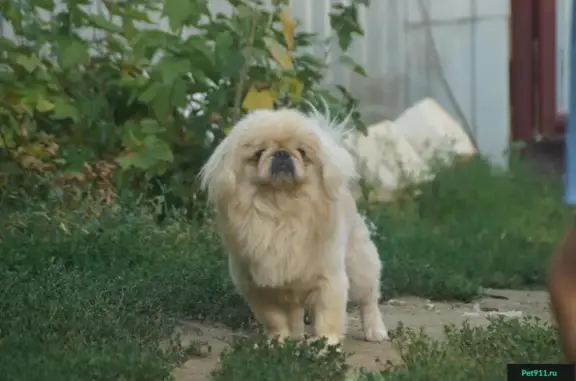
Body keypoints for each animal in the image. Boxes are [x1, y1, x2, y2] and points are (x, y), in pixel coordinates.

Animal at [200, 107, 390, 344]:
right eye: (258, 153)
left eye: (302, 151)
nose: (282, 153)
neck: (282, 209)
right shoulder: (259, 288)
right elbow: (275, 319)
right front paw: (278, 342)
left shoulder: (329, 280)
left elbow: (327, 318)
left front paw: (326, 344)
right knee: (296, 312)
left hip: (358, 265)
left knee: (369, 298)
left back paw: (375, 331)